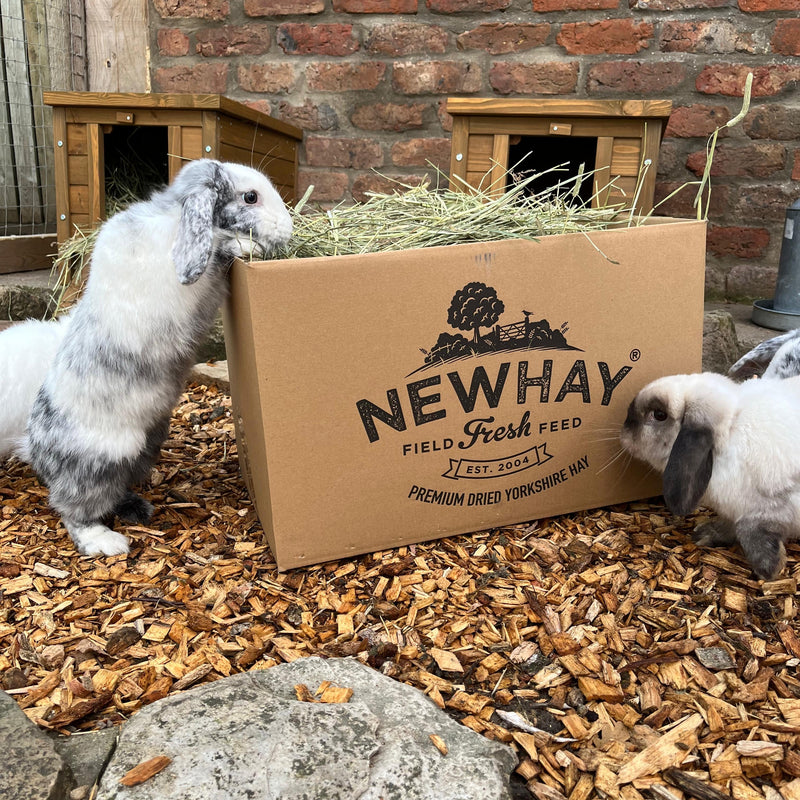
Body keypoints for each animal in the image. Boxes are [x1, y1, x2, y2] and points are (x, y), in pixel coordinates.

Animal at [25, 159, 292, 557]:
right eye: (250, 197)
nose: (289, 229)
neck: (175, 216)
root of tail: (37, 451)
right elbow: (219, 246)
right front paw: (248, 245)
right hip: (98, 464)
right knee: (73, 510)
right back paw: (107, 542)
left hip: (145, 448)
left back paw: (138, 509)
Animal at [620, 371, 800, 580]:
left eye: (659, 415)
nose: (624, 431)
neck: (730, 434)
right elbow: (730, 525)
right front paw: (704, 535)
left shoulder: (768, 509)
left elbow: (748, 530)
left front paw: (768, 570)